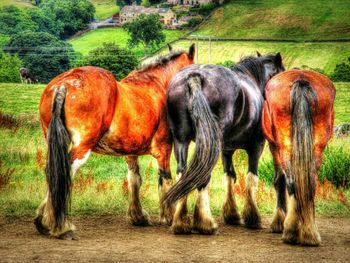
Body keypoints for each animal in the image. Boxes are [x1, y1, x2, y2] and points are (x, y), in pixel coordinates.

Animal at [36, 44, 194, 241]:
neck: (159, 85)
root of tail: (63, 84)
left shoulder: (131, 153)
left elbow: (134, 179)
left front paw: (138, 216)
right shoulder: (163, 150)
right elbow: (165, 179)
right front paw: (170, 216)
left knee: (53, 172)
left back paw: (44, 221)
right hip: (82, 147)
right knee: (64, 171)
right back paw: (62, 227)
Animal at [163, 52, 286, 235]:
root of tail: (194, 77)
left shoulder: (226, 150)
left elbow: (230, 176)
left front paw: (232, 214)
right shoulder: (257, 145)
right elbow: (251, 177)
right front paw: (252, 217)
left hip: (181, 141)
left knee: (182, 173)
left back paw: (181, 222)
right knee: (203, 176)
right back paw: (205, 223)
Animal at [262, 69, 336, 246]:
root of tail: (301, 80)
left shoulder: (273, 146)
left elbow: (279, 181)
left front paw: (279, 222)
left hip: (284, 146)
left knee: (291, 182)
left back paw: (290, 230)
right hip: (317, 148)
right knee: (310, 183)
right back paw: (310, 233)